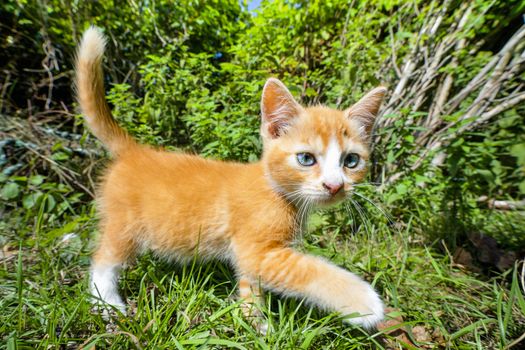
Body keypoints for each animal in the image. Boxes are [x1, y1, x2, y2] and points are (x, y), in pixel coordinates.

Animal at [78, 27, 386, 330]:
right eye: (306, 159)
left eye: (351, 161)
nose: (335, 186)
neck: (277, 192)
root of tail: (135, 150)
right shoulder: (257, 251)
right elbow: (309, 270)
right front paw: (363, 302)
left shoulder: (252, 259)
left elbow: (250, 283)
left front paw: (256, 325)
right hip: (124, 224)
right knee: (103, 260)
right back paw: (107, 304)